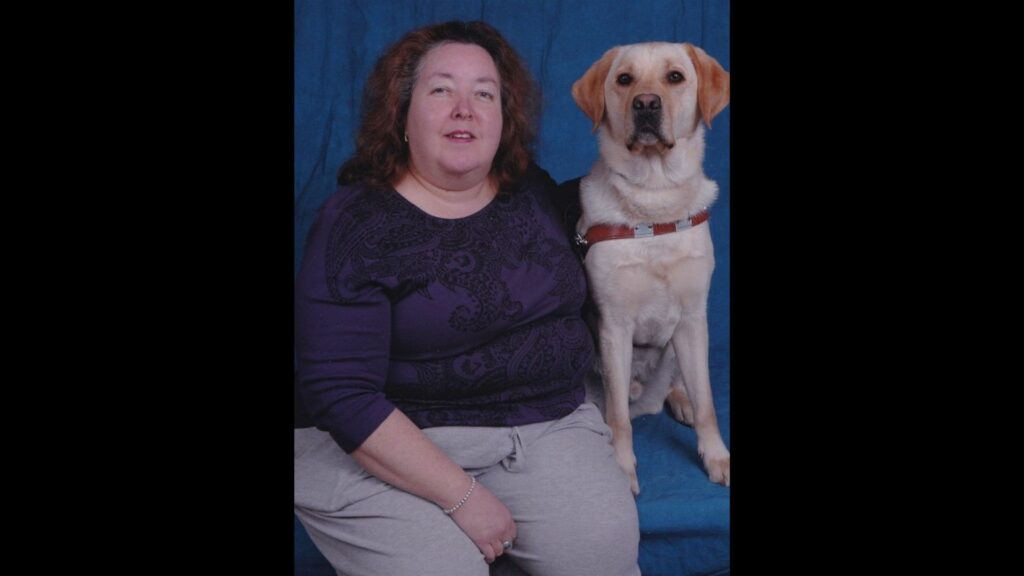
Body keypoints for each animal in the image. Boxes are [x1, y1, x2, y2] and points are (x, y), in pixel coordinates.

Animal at [573, 41, 733, 494]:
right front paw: (622, 467)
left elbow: (707, 400)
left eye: (675, 77)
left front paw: (716, 456)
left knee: (681, 382)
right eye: (624, 79)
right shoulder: (614, 325)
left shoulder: (694, 318)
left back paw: (680, 399)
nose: (646, 103)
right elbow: (618, 418)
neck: (654, 200)